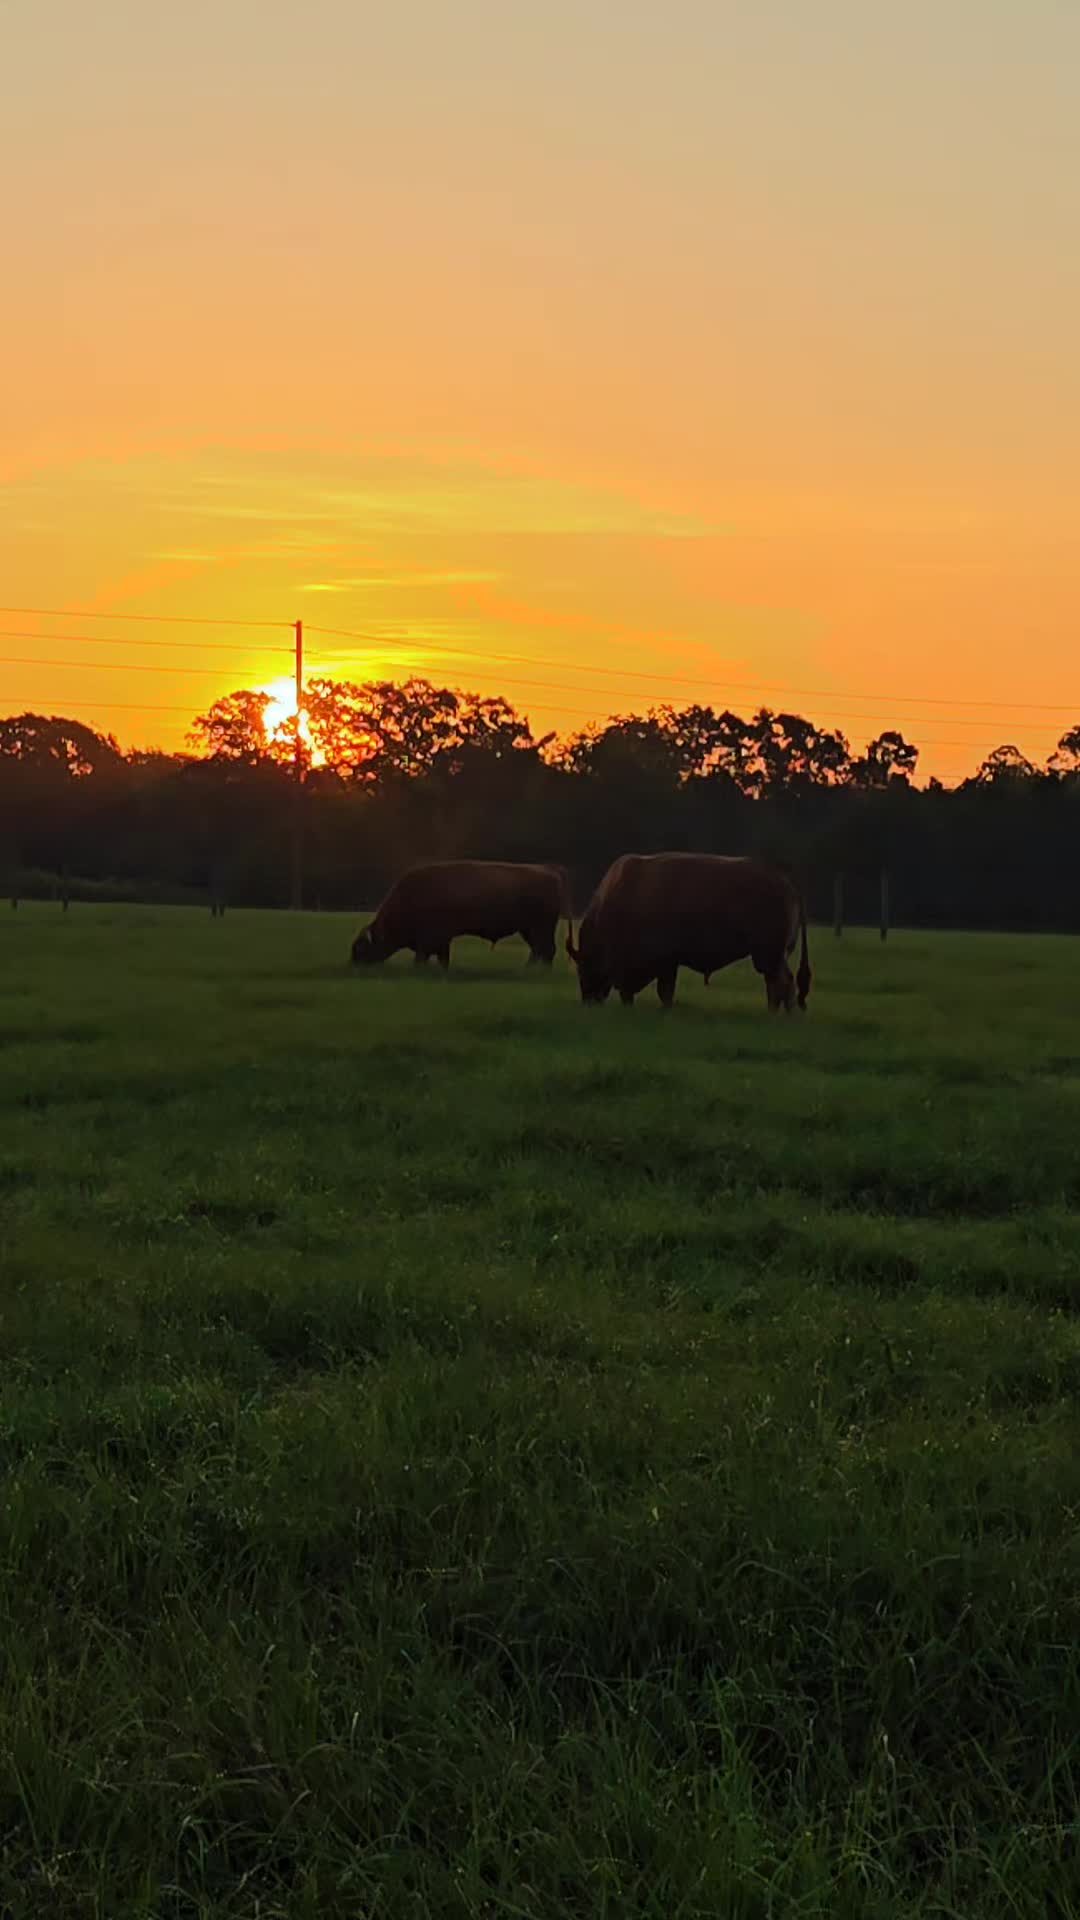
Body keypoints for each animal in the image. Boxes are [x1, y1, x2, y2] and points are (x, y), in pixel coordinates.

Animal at [351, 860, 571, 971]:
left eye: (361, 948)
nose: (353, 966)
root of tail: (552, 871)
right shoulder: (441, 940)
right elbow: (442, 957)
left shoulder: (430, 940)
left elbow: (423, 957)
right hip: (528, 929)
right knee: (538, 950)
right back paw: (528, 970)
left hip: (541, 927)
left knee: (546, 950)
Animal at [566, 853, 811, 1012]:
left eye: (584, 966)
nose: (588, 1000)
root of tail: (784, 881)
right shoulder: (667, 963)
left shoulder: (663, 962)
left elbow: (664, 990)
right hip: (771, 956)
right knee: (775, 983)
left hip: (768, 955)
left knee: (782, 982)